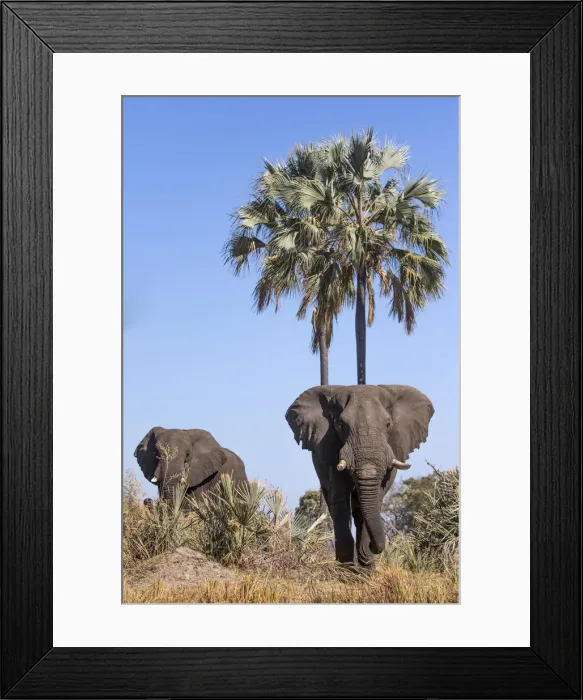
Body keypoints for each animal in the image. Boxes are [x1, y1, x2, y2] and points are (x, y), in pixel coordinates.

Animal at [285, 384, 434, 568]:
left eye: (388, 424)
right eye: (340, 424)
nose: (374, 547)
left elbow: (376, 497)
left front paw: (366, 568)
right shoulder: (332, 449)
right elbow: (340, 498)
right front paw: (347, 568)